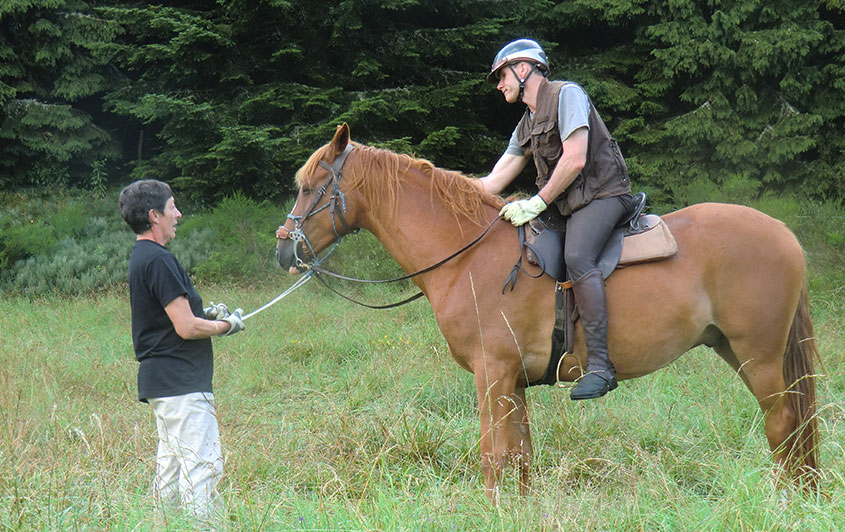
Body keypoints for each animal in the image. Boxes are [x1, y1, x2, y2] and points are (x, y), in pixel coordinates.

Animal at [276, 122, 816, 500]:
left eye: (309, 186)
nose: (285, 249)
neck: (467, 255)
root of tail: (784, 233)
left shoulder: (491, 374)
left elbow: (494, 457)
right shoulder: (512, 381)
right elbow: (519, 458)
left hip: (759, 356)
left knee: (784, 424)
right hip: (735, 351)